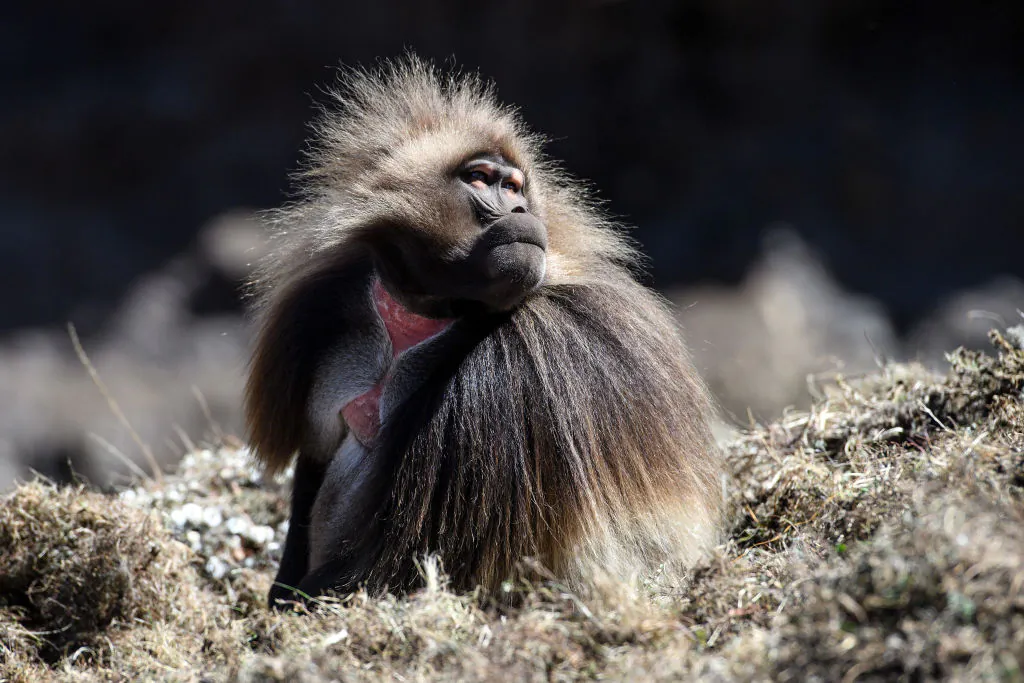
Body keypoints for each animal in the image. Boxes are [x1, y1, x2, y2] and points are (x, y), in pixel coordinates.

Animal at [244, 56, 724, 609]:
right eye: (481, 179)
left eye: (514, 187)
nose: (521, 212)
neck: (429, 311)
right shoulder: (334, 307)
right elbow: (318, 456)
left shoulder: (523, 361)